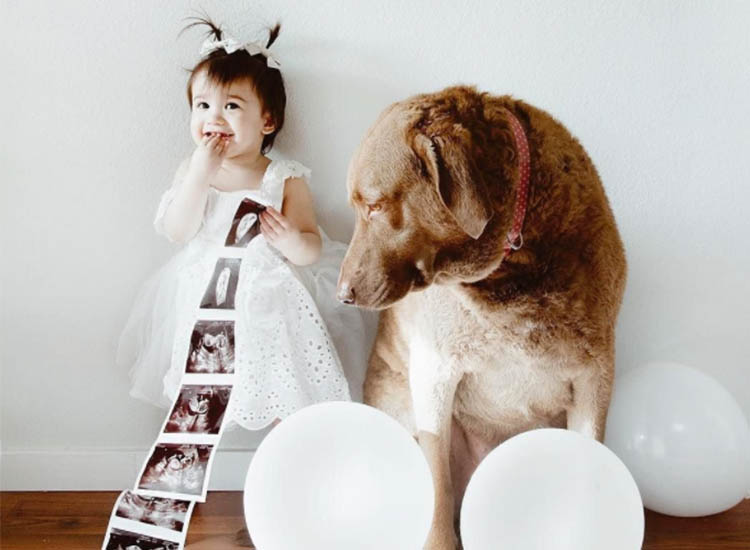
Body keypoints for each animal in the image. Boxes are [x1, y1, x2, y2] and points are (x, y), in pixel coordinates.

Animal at [338, 87, 624, 550]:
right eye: (361, 206)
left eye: (376, 207)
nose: (342, 293)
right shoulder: (435, 373)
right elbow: (437, 485)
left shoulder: (594, 375)